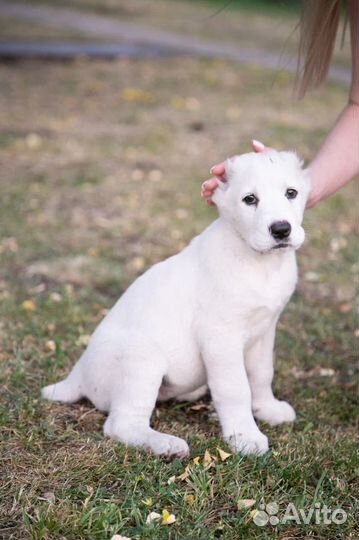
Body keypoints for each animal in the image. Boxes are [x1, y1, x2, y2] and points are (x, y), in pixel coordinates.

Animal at [42, 150, 310, 458]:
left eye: (291, 193)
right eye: (249, 199)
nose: (281, 229)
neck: (260, 263)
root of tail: (78, 373)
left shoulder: (264, 330)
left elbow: (262, 374)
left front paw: (268, 410)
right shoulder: (220, 337)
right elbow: (235, 388)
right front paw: (245, 436)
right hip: (141, 358)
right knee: (121, 424)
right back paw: (165, 445)